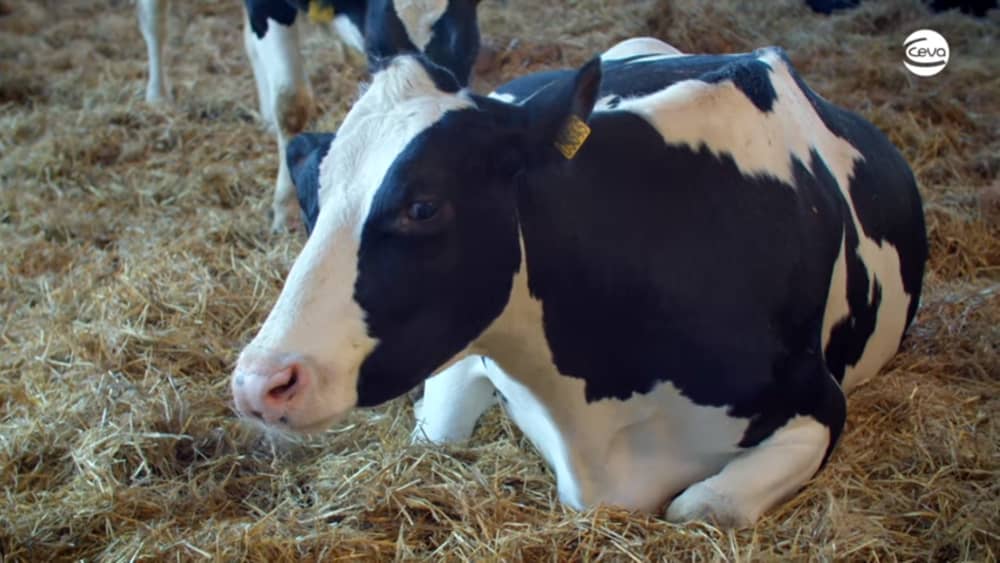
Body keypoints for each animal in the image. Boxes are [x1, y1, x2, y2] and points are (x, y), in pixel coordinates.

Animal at [136, 0, 482, 231]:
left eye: (467, 52)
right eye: (376, 51)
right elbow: (292, 104)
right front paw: (286, 207)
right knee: (154, 22)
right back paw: (157, 94)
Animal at [230, 36, 928, 527]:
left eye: (423, 206)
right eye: (311, 197)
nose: (259, 383)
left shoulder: (817, 405)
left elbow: (702, 507)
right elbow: (436, 431)